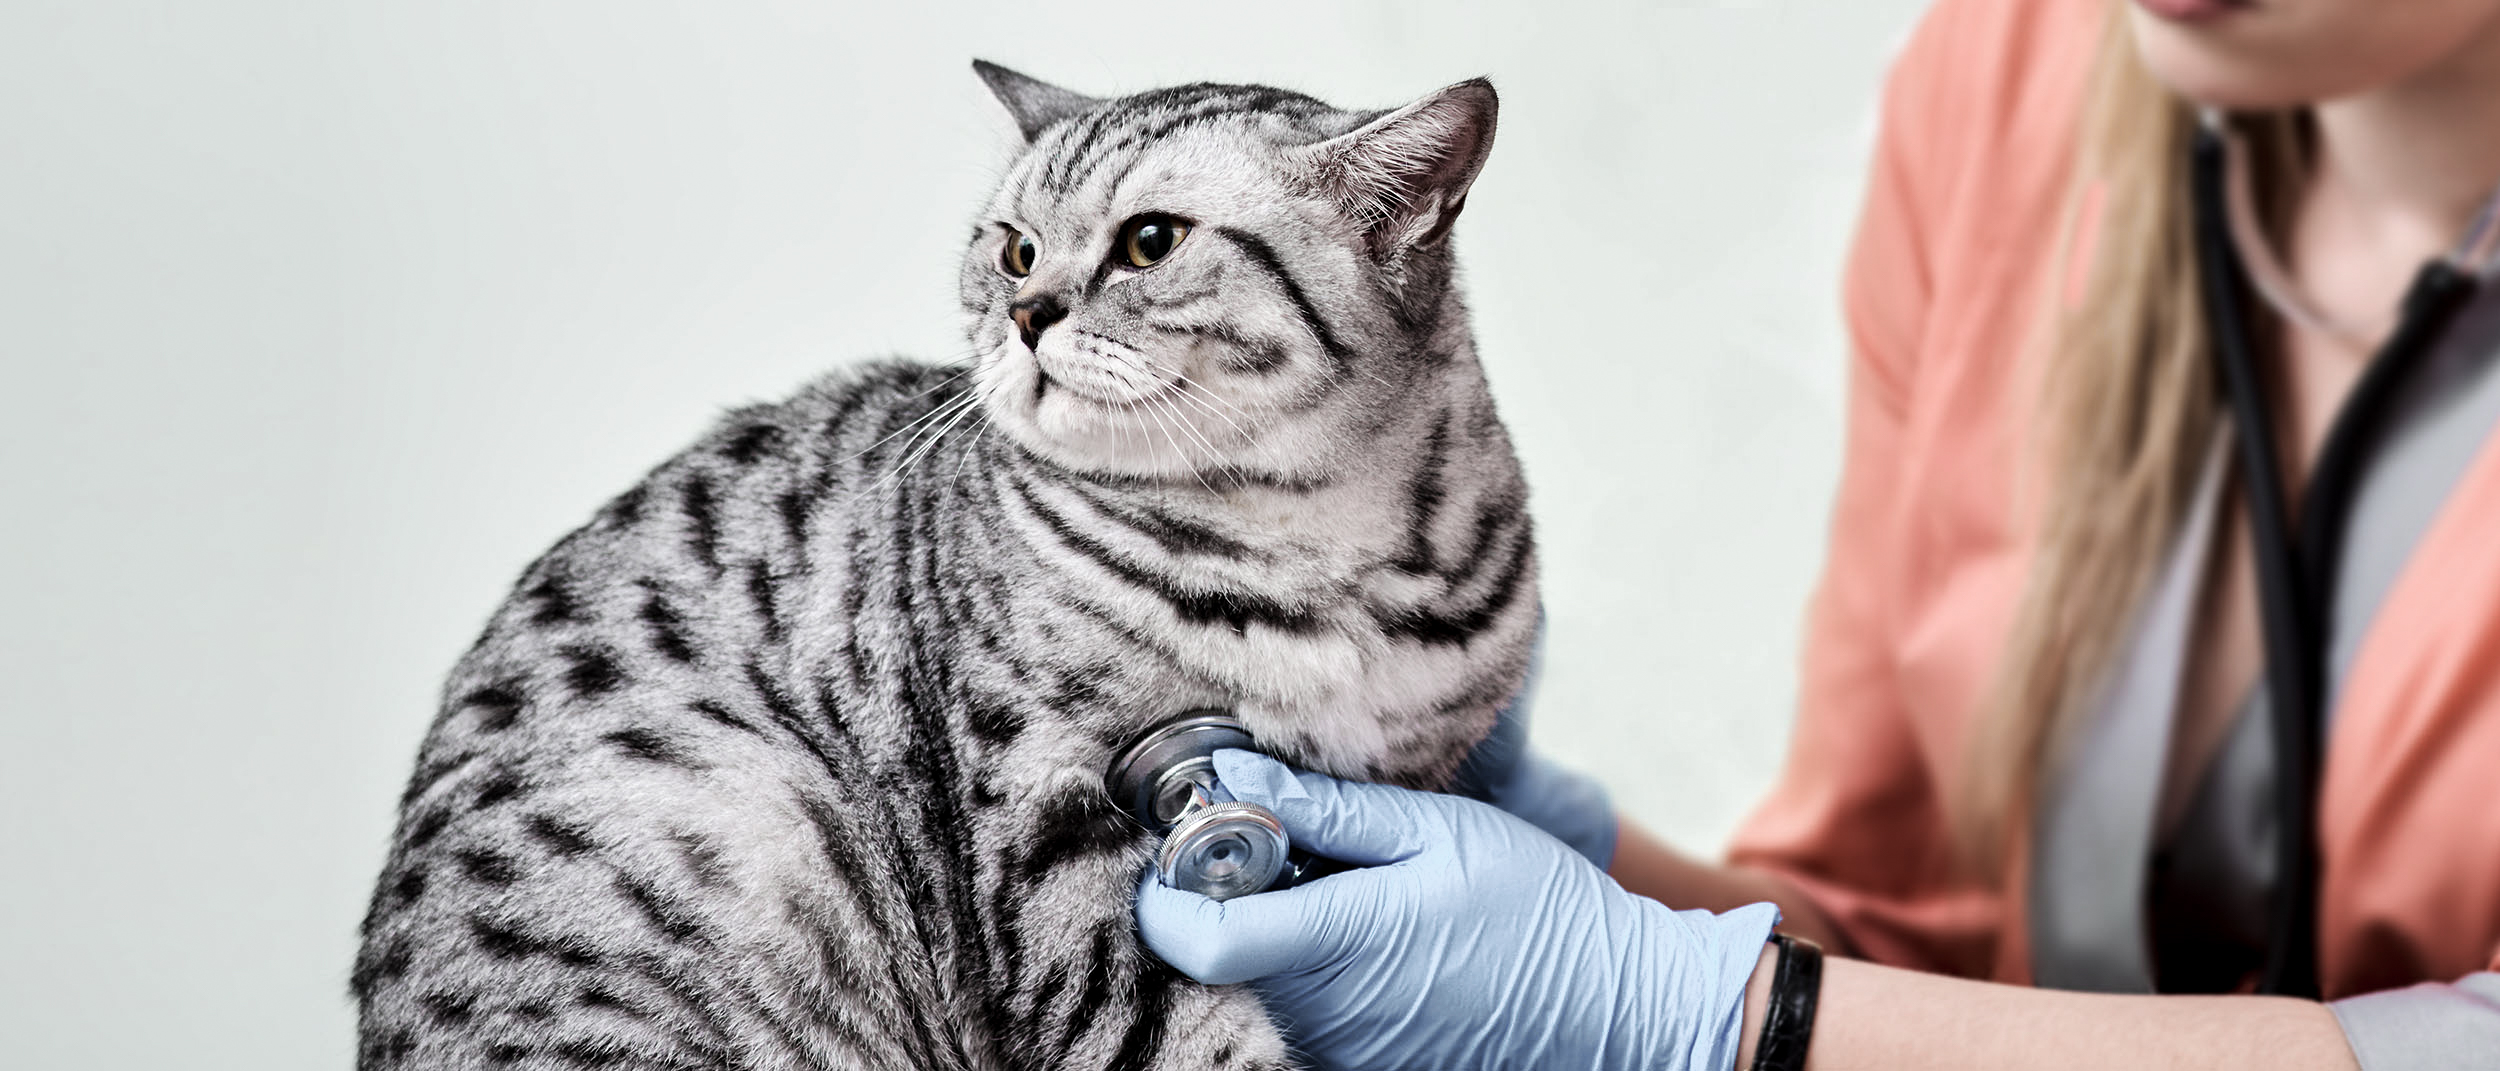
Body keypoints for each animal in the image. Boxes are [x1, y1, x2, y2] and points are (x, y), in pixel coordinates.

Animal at [360, 62, 1530, 1065]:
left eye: (1149, 241)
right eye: (1013, 251)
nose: (1026, 313)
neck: (1315, 549)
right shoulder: (1042, 820)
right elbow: (1168, 1032)